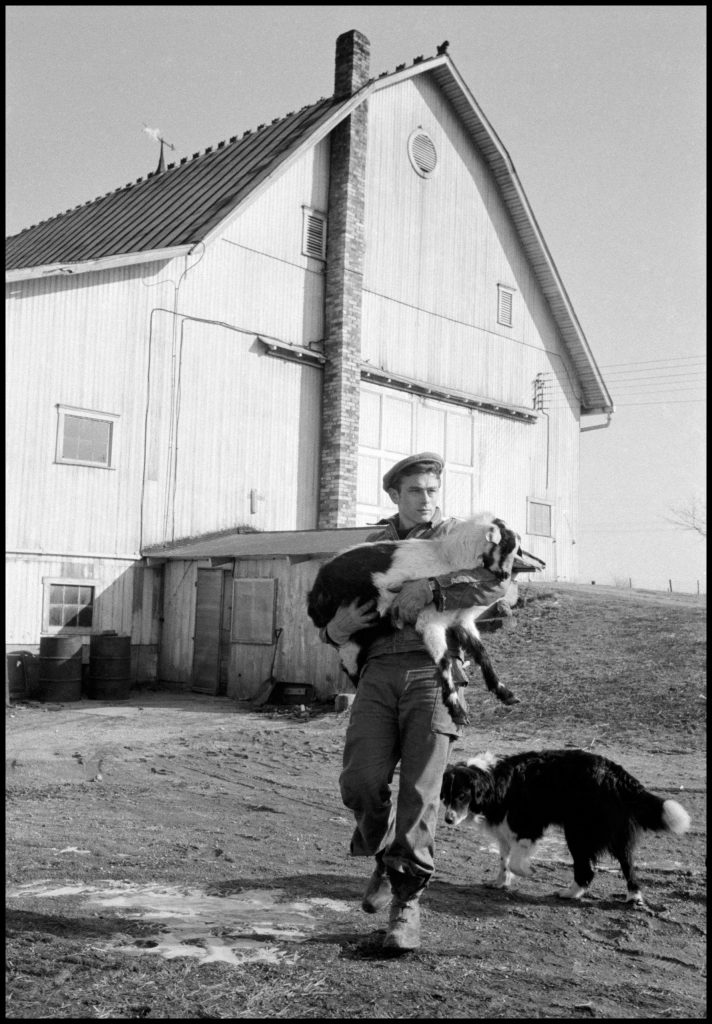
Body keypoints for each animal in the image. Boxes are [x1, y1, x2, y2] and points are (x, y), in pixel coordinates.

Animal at [307, 512, 528, 729]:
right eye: (503, 545)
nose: (505, 575)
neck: (450, 559)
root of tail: (315, 591)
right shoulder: (430, 622)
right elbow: (444, 661)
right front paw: (456, 710)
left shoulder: (461, 621)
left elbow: (482, 654)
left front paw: (505, 693)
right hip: (350, 635)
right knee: (350, 668)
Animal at [440, 749, 692, 901]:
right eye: (445, 795)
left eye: (462, 795)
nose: (448, 819)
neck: (492, 782)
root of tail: (616, 774)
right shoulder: (504, 832)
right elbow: (504, 861)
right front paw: (500, 882)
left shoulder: (528, 826)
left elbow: (514, 862)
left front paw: (527, 871)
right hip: (610, 834)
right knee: (626, 863)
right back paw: (631, 896)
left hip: (577, 832)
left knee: (588, 869)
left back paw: (572, 893)